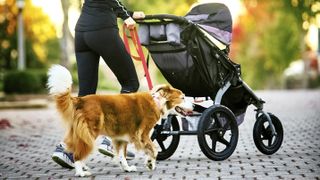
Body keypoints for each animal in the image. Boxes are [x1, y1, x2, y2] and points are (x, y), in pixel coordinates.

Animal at [47, 64, 192, 176]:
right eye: (183, 98)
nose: (194, 106)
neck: (157, 102)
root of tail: (81, 100)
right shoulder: (142, 134)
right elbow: (154, 149)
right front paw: (150, 163)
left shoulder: (121, 137)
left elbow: (122, 155)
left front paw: (127, 168)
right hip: (90, 132)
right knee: (78, 154)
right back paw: (80, 172)